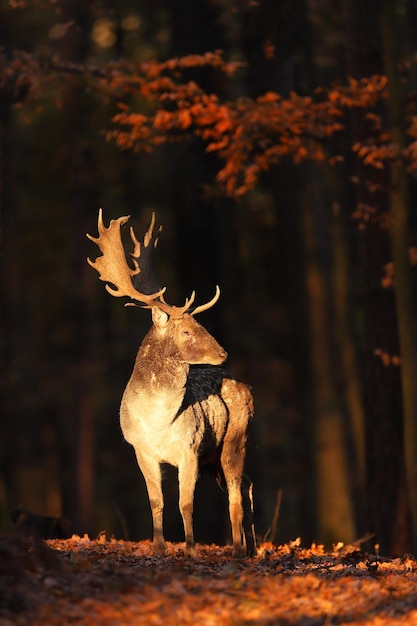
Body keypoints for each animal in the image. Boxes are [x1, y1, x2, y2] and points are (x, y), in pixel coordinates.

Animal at [86, 211, 255, 556]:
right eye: (187, 331)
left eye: (200, 323)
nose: (223, 352)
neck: (158, 421)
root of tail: (246, 388)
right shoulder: (141, 449)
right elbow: (156, 501)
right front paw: (159, 548)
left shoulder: (189, 448)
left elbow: (185, 503)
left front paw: (190, 549)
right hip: (214, 456)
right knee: (245, 485)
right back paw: (247, 546)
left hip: (235, 439)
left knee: (237, 493)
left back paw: (237, 549)